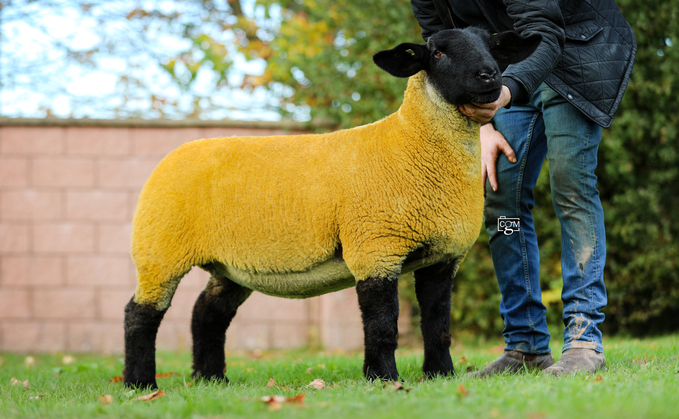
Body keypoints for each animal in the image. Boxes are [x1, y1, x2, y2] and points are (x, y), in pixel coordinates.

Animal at [123, 27, 540, 390]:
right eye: (438, 53)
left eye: (492, 46)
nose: (489, 76)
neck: (409, 144)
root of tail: (177, 152)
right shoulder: (375, 248)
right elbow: (382, 326)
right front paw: (383, 379)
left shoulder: (442, 257)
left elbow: (438, 325)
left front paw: (440, 376)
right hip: (160, 249)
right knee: (140, 314)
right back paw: (139, 383)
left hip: (230, 265)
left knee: (207, 314)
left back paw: (210, 379)